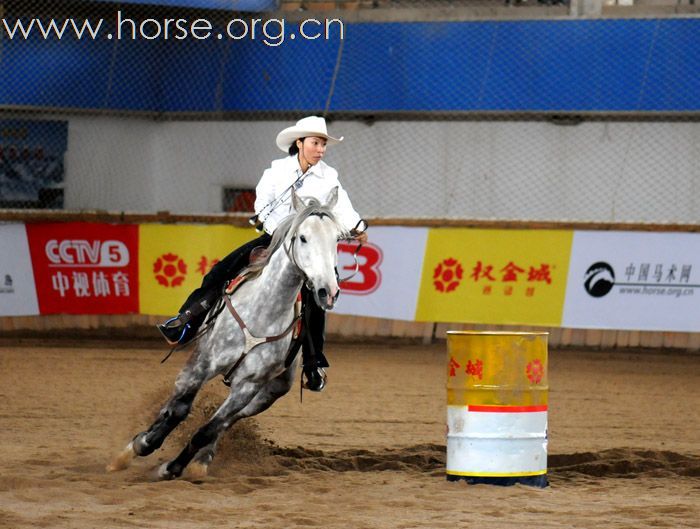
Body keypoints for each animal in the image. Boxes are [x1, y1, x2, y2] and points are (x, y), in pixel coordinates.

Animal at [108, 190, 346, 478]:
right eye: (303, 237)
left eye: (337, 239)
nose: (327, 291)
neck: (262, 312)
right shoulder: (202, 364)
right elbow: (177, 410)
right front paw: (137, 447)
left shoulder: (248, 385)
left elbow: (208, 429)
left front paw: (172, 468)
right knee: (177, 409)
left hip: (268, 393)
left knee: (228, 422)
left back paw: (203, 459)